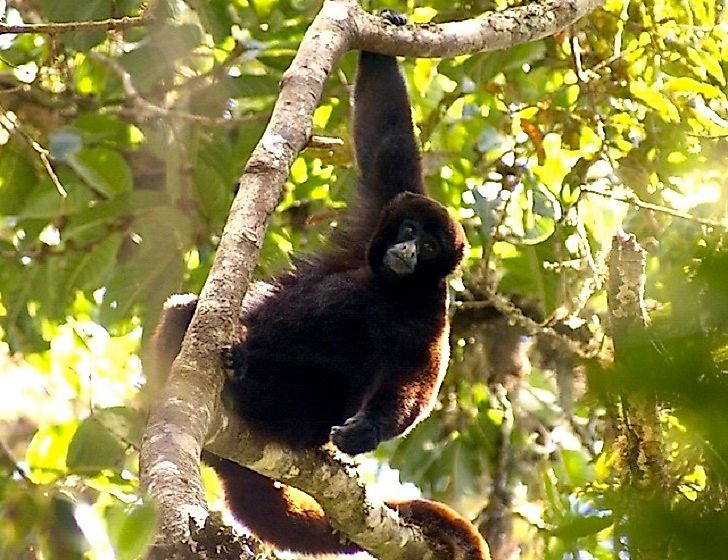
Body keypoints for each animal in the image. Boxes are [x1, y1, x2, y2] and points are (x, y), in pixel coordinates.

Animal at [151, 9, 490, 560]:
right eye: (410, 231)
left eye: (431, 248)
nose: (407, 251)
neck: (390, 287)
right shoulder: (378, 216)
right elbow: (387, 141)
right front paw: (386, 34)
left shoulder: (429, 309)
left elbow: (417, 377)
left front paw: (369, 429)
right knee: (185, 309)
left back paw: (249, 380)